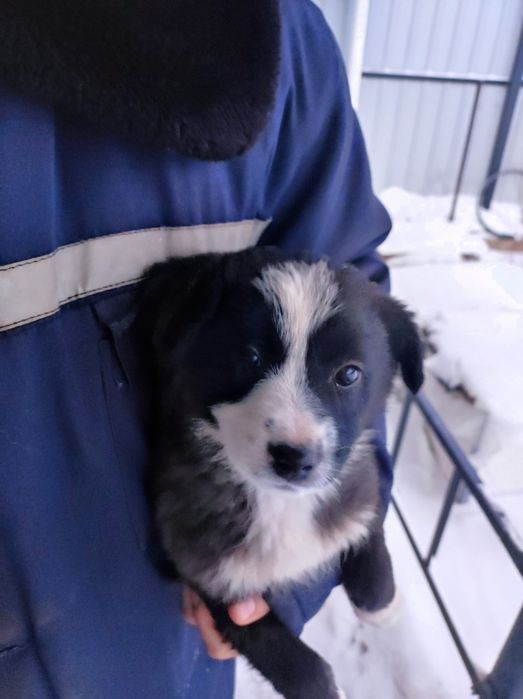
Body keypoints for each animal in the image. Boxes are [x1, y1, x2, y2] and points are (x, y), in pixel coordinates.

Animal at [135, 247, 423, 699]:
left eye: (349, 373)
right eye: (251, 357)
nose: (293, 458)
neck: (280, 504)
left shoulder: (358, 485)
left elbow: (368, 524)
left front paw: (381, 604)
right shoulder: (201, 561)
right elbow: (276, 646)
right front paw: (323, 688)